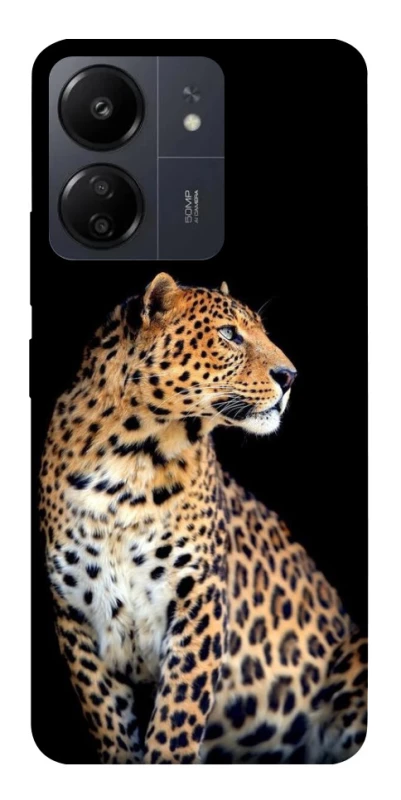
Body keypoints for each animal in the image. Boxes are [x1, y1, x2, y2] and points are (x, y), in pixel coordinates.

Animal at [39, 272, 367, 764]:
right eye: (229, 334)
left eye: (261, 331)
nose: (290, 376)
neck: (129, 461)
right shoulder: (76, 617)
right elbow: (112, 725)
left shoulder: (200, 599)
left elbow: (176, 720)